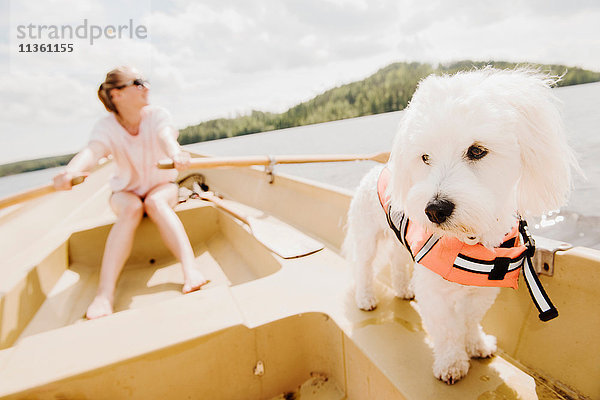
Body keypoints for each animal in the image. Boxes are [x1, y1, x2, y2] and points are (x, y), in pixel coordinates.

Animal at [344, 69, 580, 384]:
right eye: (425, 157)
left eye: (477, 151)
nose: (434, 210)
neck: (470, 238)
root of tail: (372, 171)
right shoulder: (434, 290)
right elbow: (447, 329)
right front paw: (451, 363)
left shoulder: (482, 290)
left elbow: (469, 320)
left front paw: (476, 345)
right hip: (367, 238)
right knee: (364, 268)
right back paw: (366, 298)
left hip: (398, 243)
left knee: (396, 262)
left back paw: (403, 290)